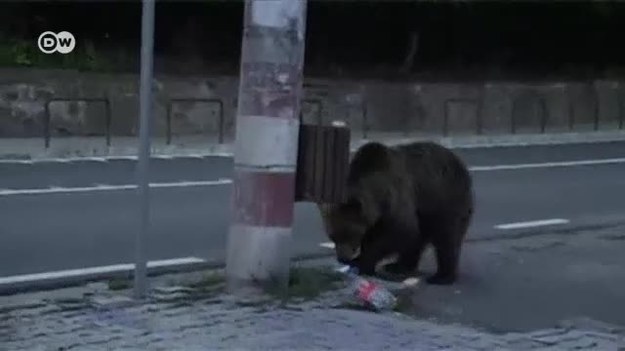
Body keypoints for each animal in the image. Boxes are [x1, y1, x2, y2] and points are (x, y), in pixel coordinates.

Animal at [322, 141, 472, 286]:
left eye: (349, 234)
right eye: (332, 236)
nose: (342, 258)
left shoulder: (397, 198)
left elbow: (401, 231)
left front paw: (363, 261)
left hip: (446, 200)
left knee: (446, 238)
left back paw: (441, 277)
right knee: (420, 239)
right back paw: (398, 266)